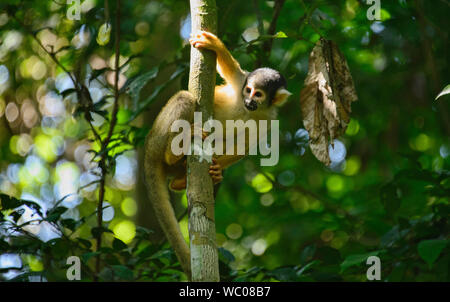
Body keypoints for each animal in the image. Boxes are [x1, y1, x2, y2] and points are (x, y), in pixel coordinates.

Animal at [144, 30, 292, 276]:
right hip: (158, 137)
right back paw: (173, 153)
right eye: (249, 90)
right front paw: (215, 45)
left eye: (259, 95)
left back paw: (179, 179)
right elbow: (232, 71)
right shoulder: (240, 83)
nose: (249, 101)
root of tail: (148, 148)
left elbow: (244, 147)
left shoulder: (270, 119)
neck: (250, 109)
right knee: (185, 98)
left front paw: (217, 171)